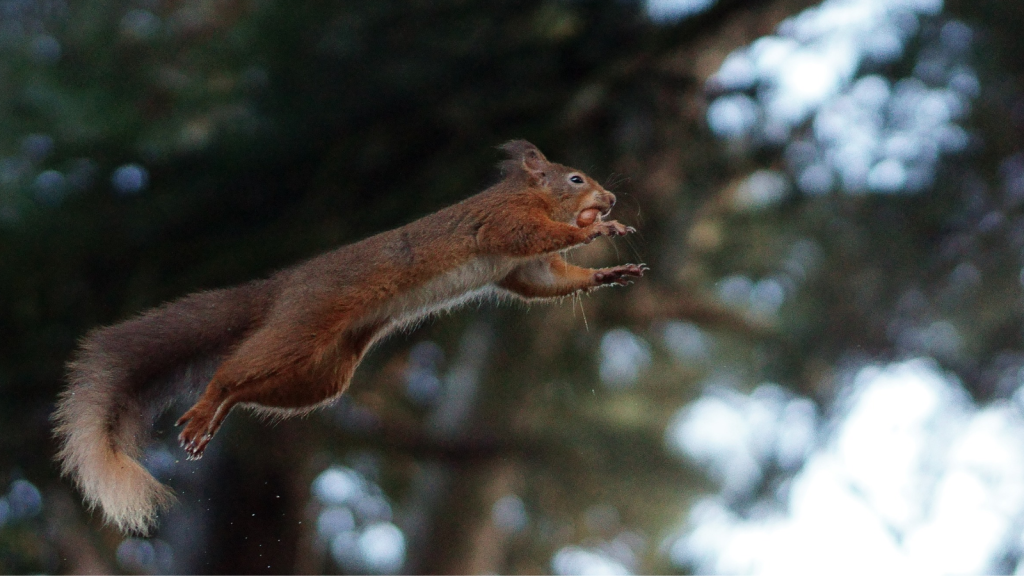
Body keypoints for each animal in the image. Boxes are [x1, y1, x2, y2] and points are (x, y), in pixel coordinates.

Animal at [51, 140, 643, 532]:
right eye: (575, 180)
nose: (611, 200)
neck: (530, 194)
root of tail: (283, 287)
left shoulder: (524, 268)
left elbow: (543, 281)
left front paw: (608, 272)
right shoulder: (504, 222)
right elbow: (530, 237)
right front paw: (597, 229)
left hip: (322, 373)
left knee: (251, 389)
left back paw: (213, 421)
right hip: (302, 326)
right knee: (231, 371)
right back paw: (203, 410)